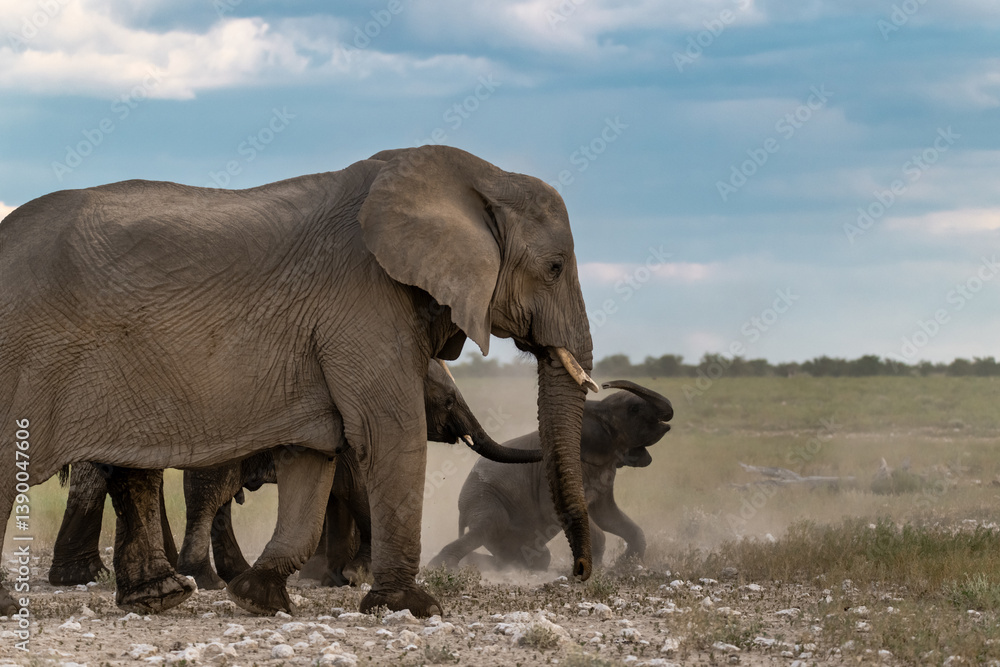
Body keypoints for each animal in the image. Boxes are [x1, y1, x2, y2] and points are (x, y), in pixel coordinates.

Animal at [0, 145, 597, 617]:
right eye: (554, 268)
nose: (577, 573)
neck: (480, 177)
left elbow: (315, 455)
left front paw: (259, 600)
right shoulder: (363, 303)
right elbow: (387, 433)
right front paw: (412, 607)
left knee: (130, 468)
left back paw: (162, 596)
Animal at [429, 381, 672, 571]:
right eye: (633, 409)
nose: (604, 384)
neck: (596, 409)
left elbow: (608, 515)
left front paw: (623, 565)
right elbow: (563, 513)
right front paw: (598, 571)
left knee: (536, 558)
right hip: (483, 500)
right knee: (488, 525)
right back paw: (444, 567)